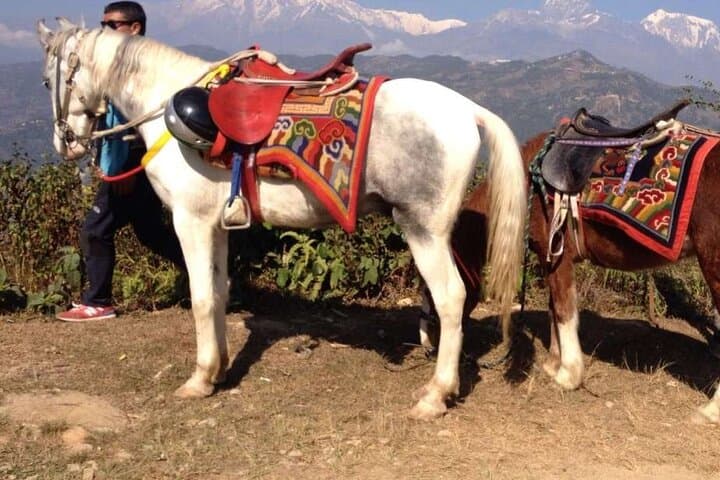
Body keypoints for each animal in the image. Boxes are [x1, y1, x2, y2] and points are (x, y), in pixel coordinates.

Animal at [35, 19, 526, 420]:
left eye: (46, 80)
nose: (65, 144)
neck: (166, 105)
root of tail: (468, 110)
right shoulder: (216, 226)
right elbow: (219, 291)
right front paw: (220, 368)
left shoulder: (190, 222)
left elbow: (201, 298)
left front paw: (199, 379)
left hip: (423, 230)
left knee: (451, 298)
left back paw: (436, 394)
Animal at [419, 129, 720, 423]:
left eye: (429, 288)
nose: (428, 343)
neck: (529, 182)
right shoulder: (548, 258)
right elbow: (554, 308)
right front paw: (554, 363)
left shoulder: (558, 256)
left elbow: (564, 311)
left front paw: (568, 375)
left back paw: (711, 411)